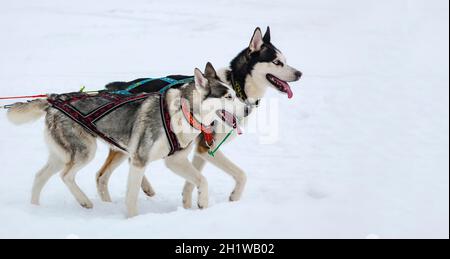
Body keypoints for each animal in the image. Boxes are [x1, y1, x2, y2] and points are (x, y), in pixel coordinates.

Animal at [6, 64, 243, 218]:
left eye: (235, 94)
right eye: (228, 96)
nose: (247, 108)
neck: (182, 112)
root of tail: (54, 100)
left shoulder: (175, 160)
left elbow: (202, 180)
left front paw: (202, 202)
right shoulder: (139, 160)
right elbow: (132, 196)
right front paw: (133, 219)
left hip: (63, 155)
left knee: (40, 176)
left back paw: (35, 209)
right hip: (85, 152)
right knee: (66, 176)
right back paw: (84, 201)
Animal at [96, 26, 302, 209]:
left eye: (285, 60)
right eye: (277, 62)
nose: (299, 73)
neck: (235, 83)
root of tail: (119, 86)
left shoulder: (200, 149)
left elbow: (192, 179)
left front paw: (188, 204)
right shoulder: (205, 146)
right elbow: (241, 174)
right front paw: (233, 197)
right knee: (103, 174)